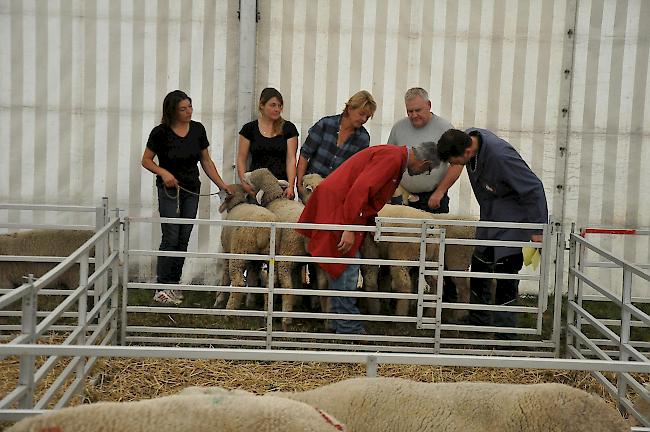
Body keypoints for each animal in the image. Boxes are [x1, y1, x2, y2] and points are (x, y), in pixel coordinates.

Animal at [246, 167, 312, 330]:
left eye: (252, 181)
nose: (243, 174)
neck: (275, 198)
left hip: (287, 256)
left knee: (288, 288)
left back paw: (286, 320)